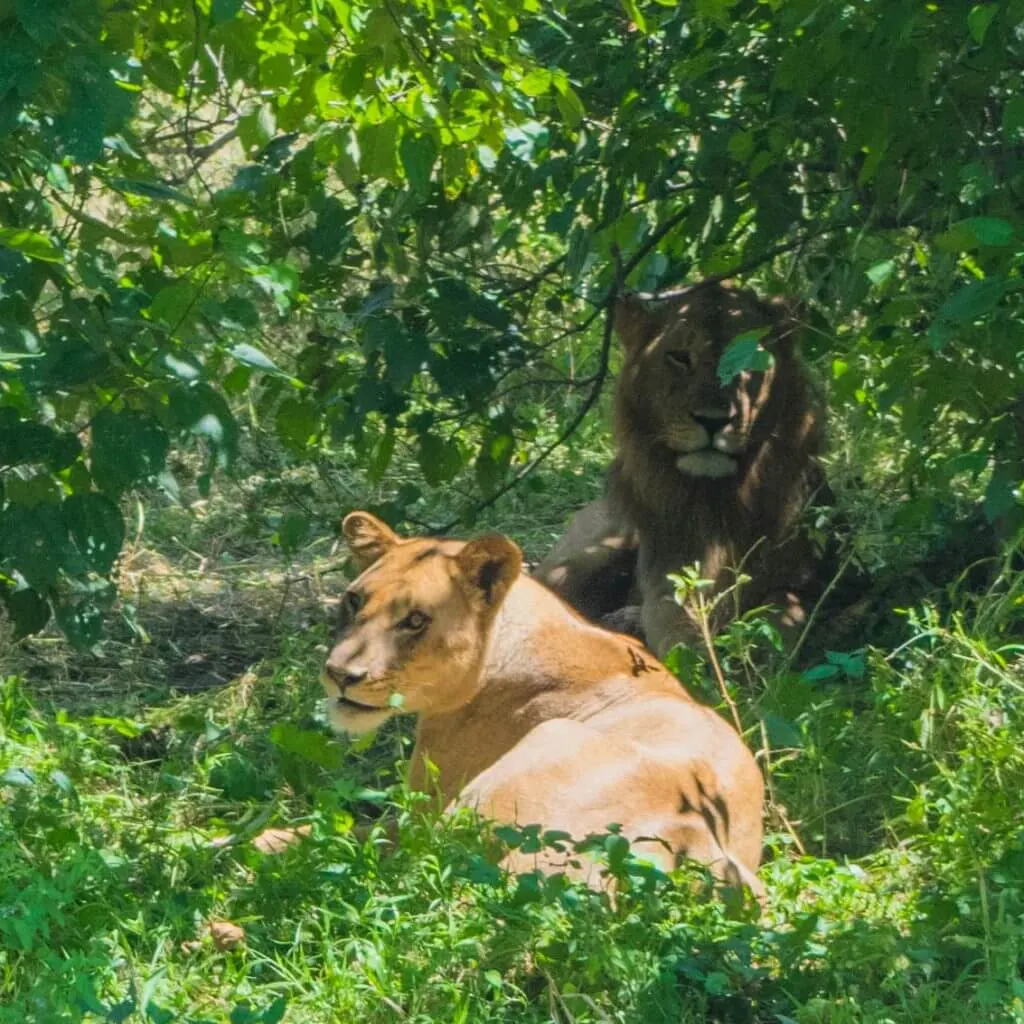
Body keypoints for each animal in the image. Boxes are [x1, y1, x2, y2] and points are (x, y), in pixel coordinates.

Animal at [536, 281, 833, 660]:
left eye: (747, 358)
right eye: (679, 357)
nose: (713, 419)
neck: (720, 496)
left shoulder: (807, 582)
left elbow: (779, 623)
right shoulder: (672, 581)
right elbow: (677, 629)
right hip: (595, 551)